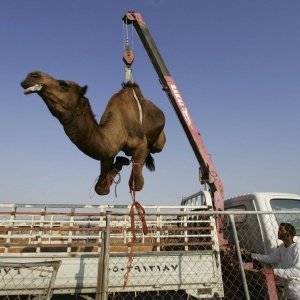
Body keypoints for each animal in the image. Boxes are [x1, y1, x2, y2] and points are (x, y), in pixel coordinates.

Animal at [20, 71, 166, 196]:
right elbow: (100, 188)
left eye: (64, 85)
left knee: (155, 147)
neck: (119, 128)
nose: (32, 75)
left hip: (160, 142)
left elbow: (136, 183)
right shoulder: (107, 153)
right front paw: (121, 161)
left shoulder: (140, 143)